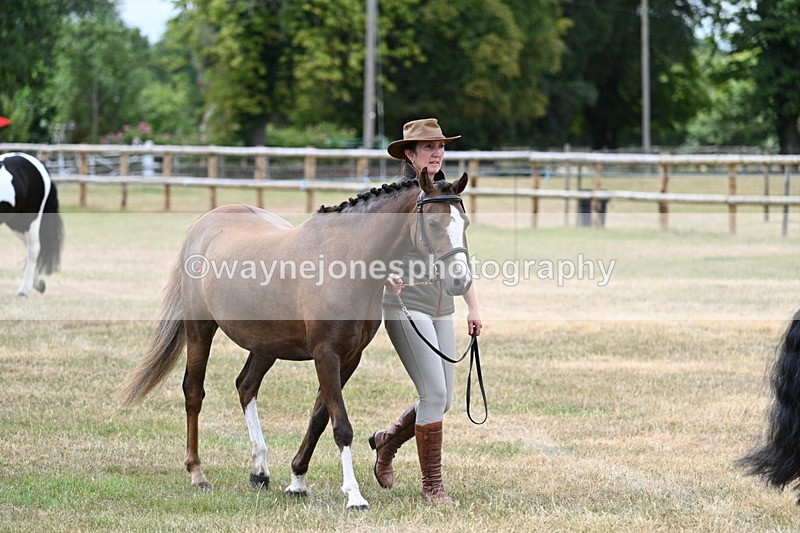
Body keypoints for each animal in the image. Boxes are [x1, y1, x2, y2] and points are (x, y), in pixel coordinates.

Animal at [0, 152, 64, 296]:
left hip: (30, 219)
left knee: (34, 248)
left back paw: (24, 290)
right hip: (15, 222)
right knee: (28, 246)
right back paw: (38, 284)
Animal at [120, 168, 472, 510]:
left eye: (465, 222)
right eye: (433, 222)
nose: (461, 281)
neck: (344, 261)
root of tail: (204, 225)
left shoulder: (350, 357)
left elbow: (319, 419)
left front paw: (297, 481)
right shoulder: (326, 354)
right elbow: (341, 426)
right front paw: (354, 495)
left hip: (265, 344)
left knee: (246, 386)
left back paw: (260, 470)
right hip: (199, 329)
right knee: (194, 392)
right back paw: (197, 473)